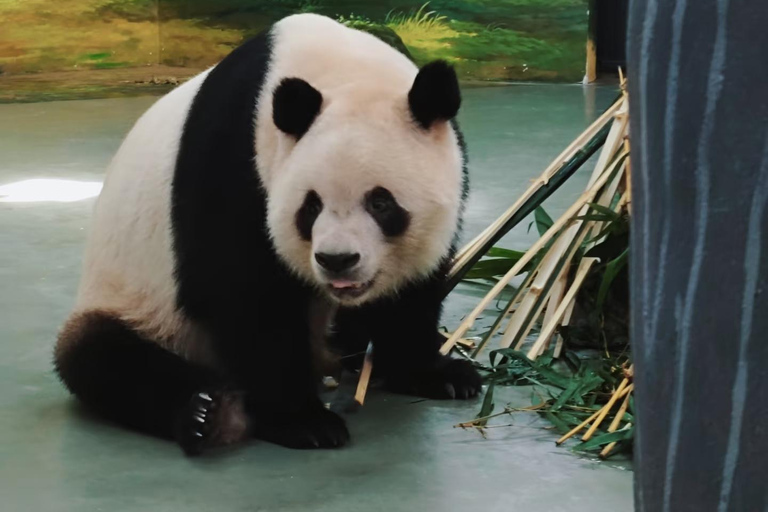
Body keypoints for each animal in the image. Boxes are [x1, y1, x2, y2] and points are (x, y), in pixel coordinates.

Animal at [54, 13, 481, 456]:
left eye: (381, 203)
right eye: (311, 207)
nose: (337, 260)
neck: (342, 71)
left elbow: (413, 292)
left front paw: (438, 374)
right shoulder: (235, 165)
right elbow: (243, 295)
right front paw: (303, 421)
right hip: (137, 306)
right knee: (104, 360)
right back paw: (209, 414)